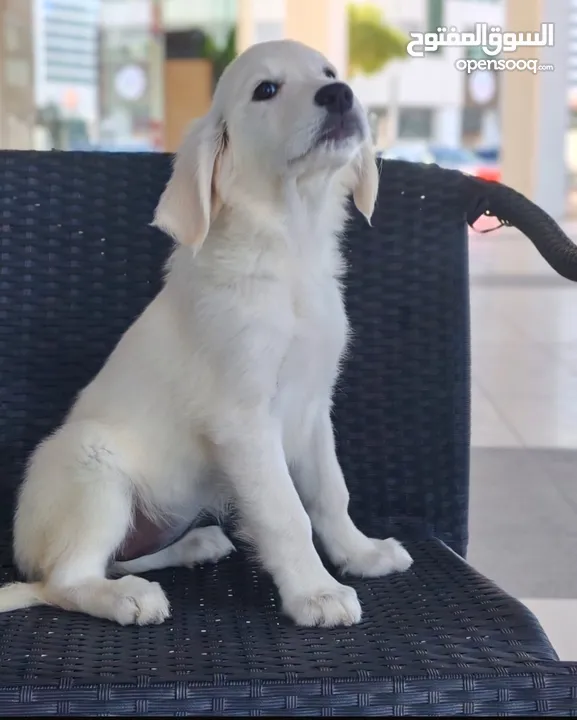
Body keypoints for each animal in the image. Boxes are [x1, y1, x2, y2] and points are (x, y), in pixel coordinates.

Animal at [0, 39, 412, 628]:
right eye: (266, 89)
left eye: (328, 71)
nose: (339, 94)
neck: (289, 250)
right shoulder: (244, 420)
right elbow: (288, 514)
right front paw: (315, 592)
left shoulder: (314, 406)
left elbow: (331, 493)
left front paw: (361, 553)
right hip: (92, 468)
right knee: (66, 580)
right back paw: (128, 597)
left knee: (117, 559)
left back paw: (195, 546)